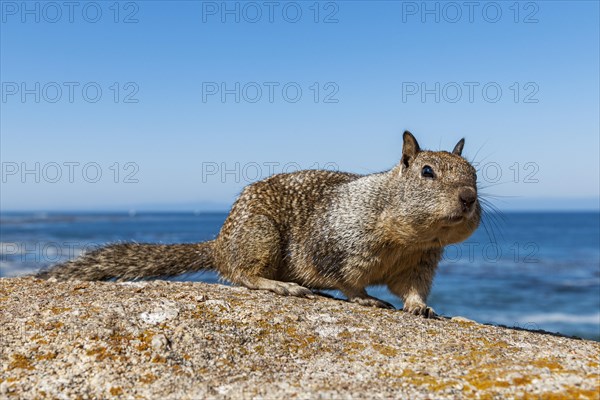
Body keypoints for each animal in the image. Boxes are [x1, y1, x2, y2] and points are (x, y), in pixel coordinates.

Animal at [37, 133, 480, 318]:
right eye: (426, 172)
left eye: (474, 172)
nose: (469, 198)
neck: (408, 237)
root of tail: (219, 243)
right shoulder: (341, 245)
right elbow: (348, 281)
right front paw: (367, 299)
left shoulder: (422, 262)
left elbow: (413, 289)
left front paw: (421, 307)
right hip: (260, 236)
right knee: (240, 275)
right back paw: (281, 285)